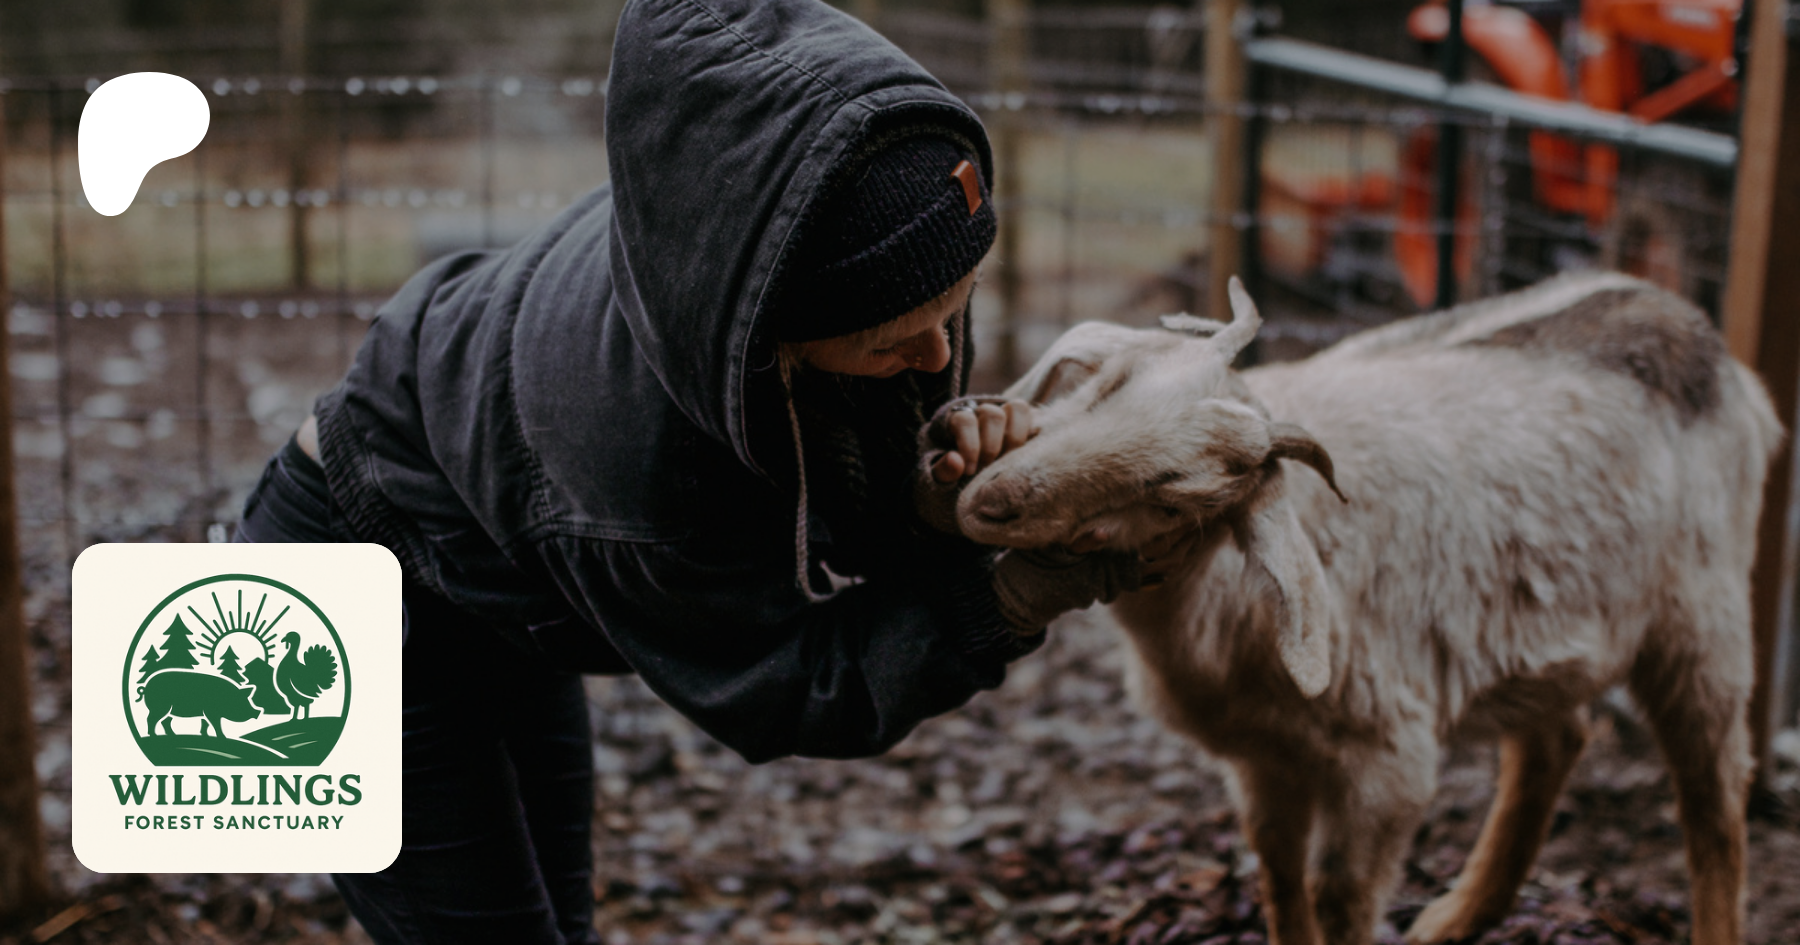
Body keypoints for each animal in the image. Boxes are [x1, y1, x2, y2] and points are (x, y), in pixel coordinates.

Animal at [953, 273, 1781, 945]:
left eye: (1171, 496)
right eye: (1107, 382)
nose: (987, 501)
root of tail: (1694, 326)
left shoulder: (1388, 759)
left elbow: (1339, 894)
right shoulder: (1263, 755)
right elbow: (1278, 870)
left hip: (1702, 616)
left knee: (1714, 798)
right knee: (1559, 735)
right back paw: (1458, 915)